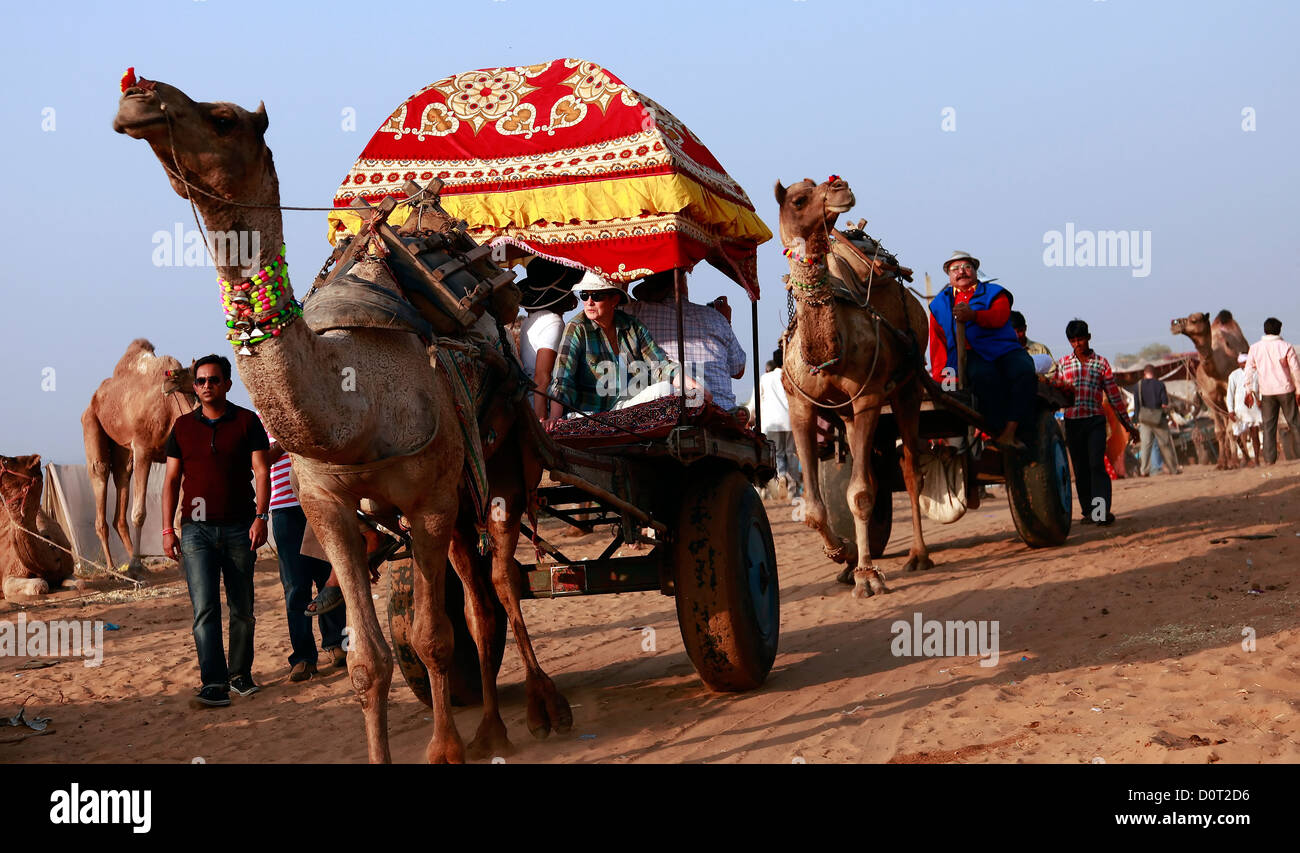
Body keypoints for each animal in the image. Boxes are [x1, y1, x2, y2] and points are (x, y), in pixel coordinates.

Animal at [82, 335, 195, 577]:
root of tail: (96, 397)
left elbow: (180, 512)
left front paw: (183, 563)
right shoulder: (144, 448)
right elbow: (140, 513)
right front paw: (133, 565)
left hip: (123, 448)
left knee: (121, 477)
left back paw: (139, 562)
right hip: (91, 423)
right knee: (100, 471)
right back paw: (115, 568)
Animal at [116, 73, 569, 764]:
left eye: (223, 120)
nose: (136, 95)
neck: (354, 407)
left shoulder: (428, 500)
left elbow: (432, 637)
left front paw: (445, 750)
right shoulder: (328, 505)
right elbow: (369, 660)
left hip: (505, 464)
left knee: (502, 581)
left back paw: (543, 709)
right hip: (459, 490)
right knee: (478, 597)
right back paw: (492, 724)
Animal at [769, 175, 935, 595]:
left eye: (819, 184)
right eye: (799, 199)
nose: (840, 186)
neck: (826, 350)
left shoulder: (870, 397)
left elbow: (859, 494)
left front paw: (868, 576)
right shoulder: (800, 406)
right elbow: (814, 507)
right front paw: (843, 554)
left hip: (908, 387)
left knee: (911, 469)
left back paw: (918, 556)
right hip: (844, 414)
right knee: (873, 472)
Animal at [1170, 309, 1248, 470]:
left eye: (1194, 320)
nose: (1174, 323)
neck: (1216, 370)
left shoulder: (1228, 393)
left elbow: (1230, 430)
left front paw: (1234, 462)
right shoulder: (1208, 398)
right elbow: (1219, 431)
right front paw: (1221, 463)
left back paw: (1245, 460)